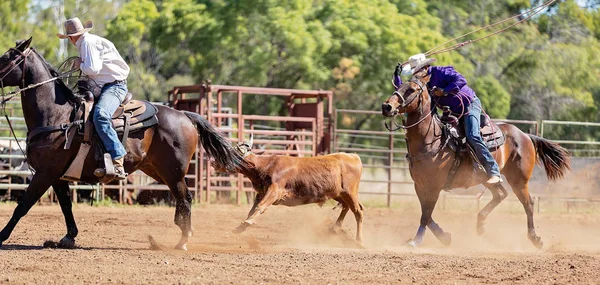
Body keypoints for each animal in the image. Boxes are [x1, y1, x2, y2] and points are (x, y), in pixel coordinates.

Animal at [0, 38, 248, 250]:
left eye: (5, 58)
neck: (57, 116)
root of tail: (185, 115)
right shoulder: (57, 176)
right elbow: (66, 206)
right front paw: (68, 237)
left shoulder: (45, 173)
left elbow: (22, 206)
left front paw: (2, 236)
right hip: (158, 171)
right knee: (181, 199)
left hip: (174, 171)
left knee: (185, 199)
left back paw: (182, 241)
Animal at [230, 139, 364, 241]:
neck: (266, 165)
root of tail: (353, 156)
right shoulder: (261, 193)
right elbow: (252, 210)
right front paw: (241, 227)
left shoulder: (275, 190)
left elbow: (260, 206)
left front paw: (247, 222)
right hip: (339, 194)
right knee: (346, 207)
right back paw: (335, 228)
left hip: (350, 193)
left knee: (358, 212)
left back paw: (359, 240)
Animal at [382, 72, 568, 247]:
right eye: (399, 85)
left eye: (412, 89)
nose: (386, 106)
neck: (431, 140)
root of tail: (525, 136)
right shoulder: (420, 185)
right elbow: (426, 214)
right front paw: (444, 237)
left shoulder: (434, 186)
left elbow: (426, 215)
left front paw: (417, 240)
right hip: (488, 178)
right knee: (501, 194)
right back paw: (481, 224)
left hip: (519, 180)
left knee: (528, 203)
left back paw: (535, 238)